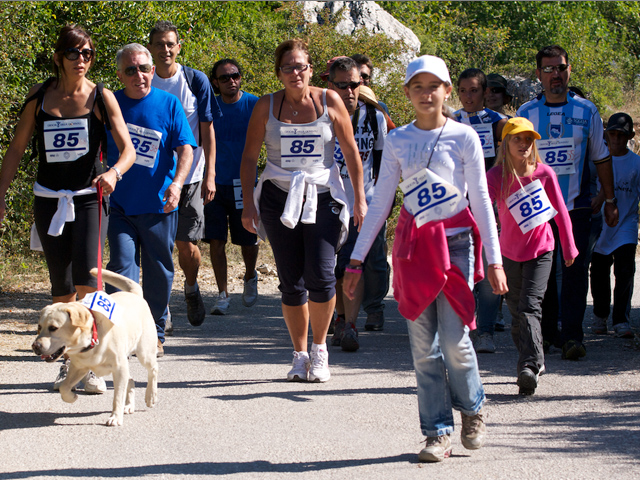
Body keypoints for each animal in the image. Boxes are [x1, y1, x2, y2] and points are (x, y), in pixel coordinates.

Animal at [31, 268, 159, 426]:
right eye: (39, 327)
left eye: (53, 328)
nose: (35, 346)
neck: (92, 338)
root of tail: (134, 294)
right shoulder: (78, 367)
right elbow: (63, 388)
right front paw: (72, 397)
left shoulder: (119, 367)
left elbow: (117, 397)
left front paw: (115, 417)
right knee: (131, 380)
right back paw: (129, 406)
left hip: (144, 353)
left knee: (153, 369)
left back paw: (150, 396)